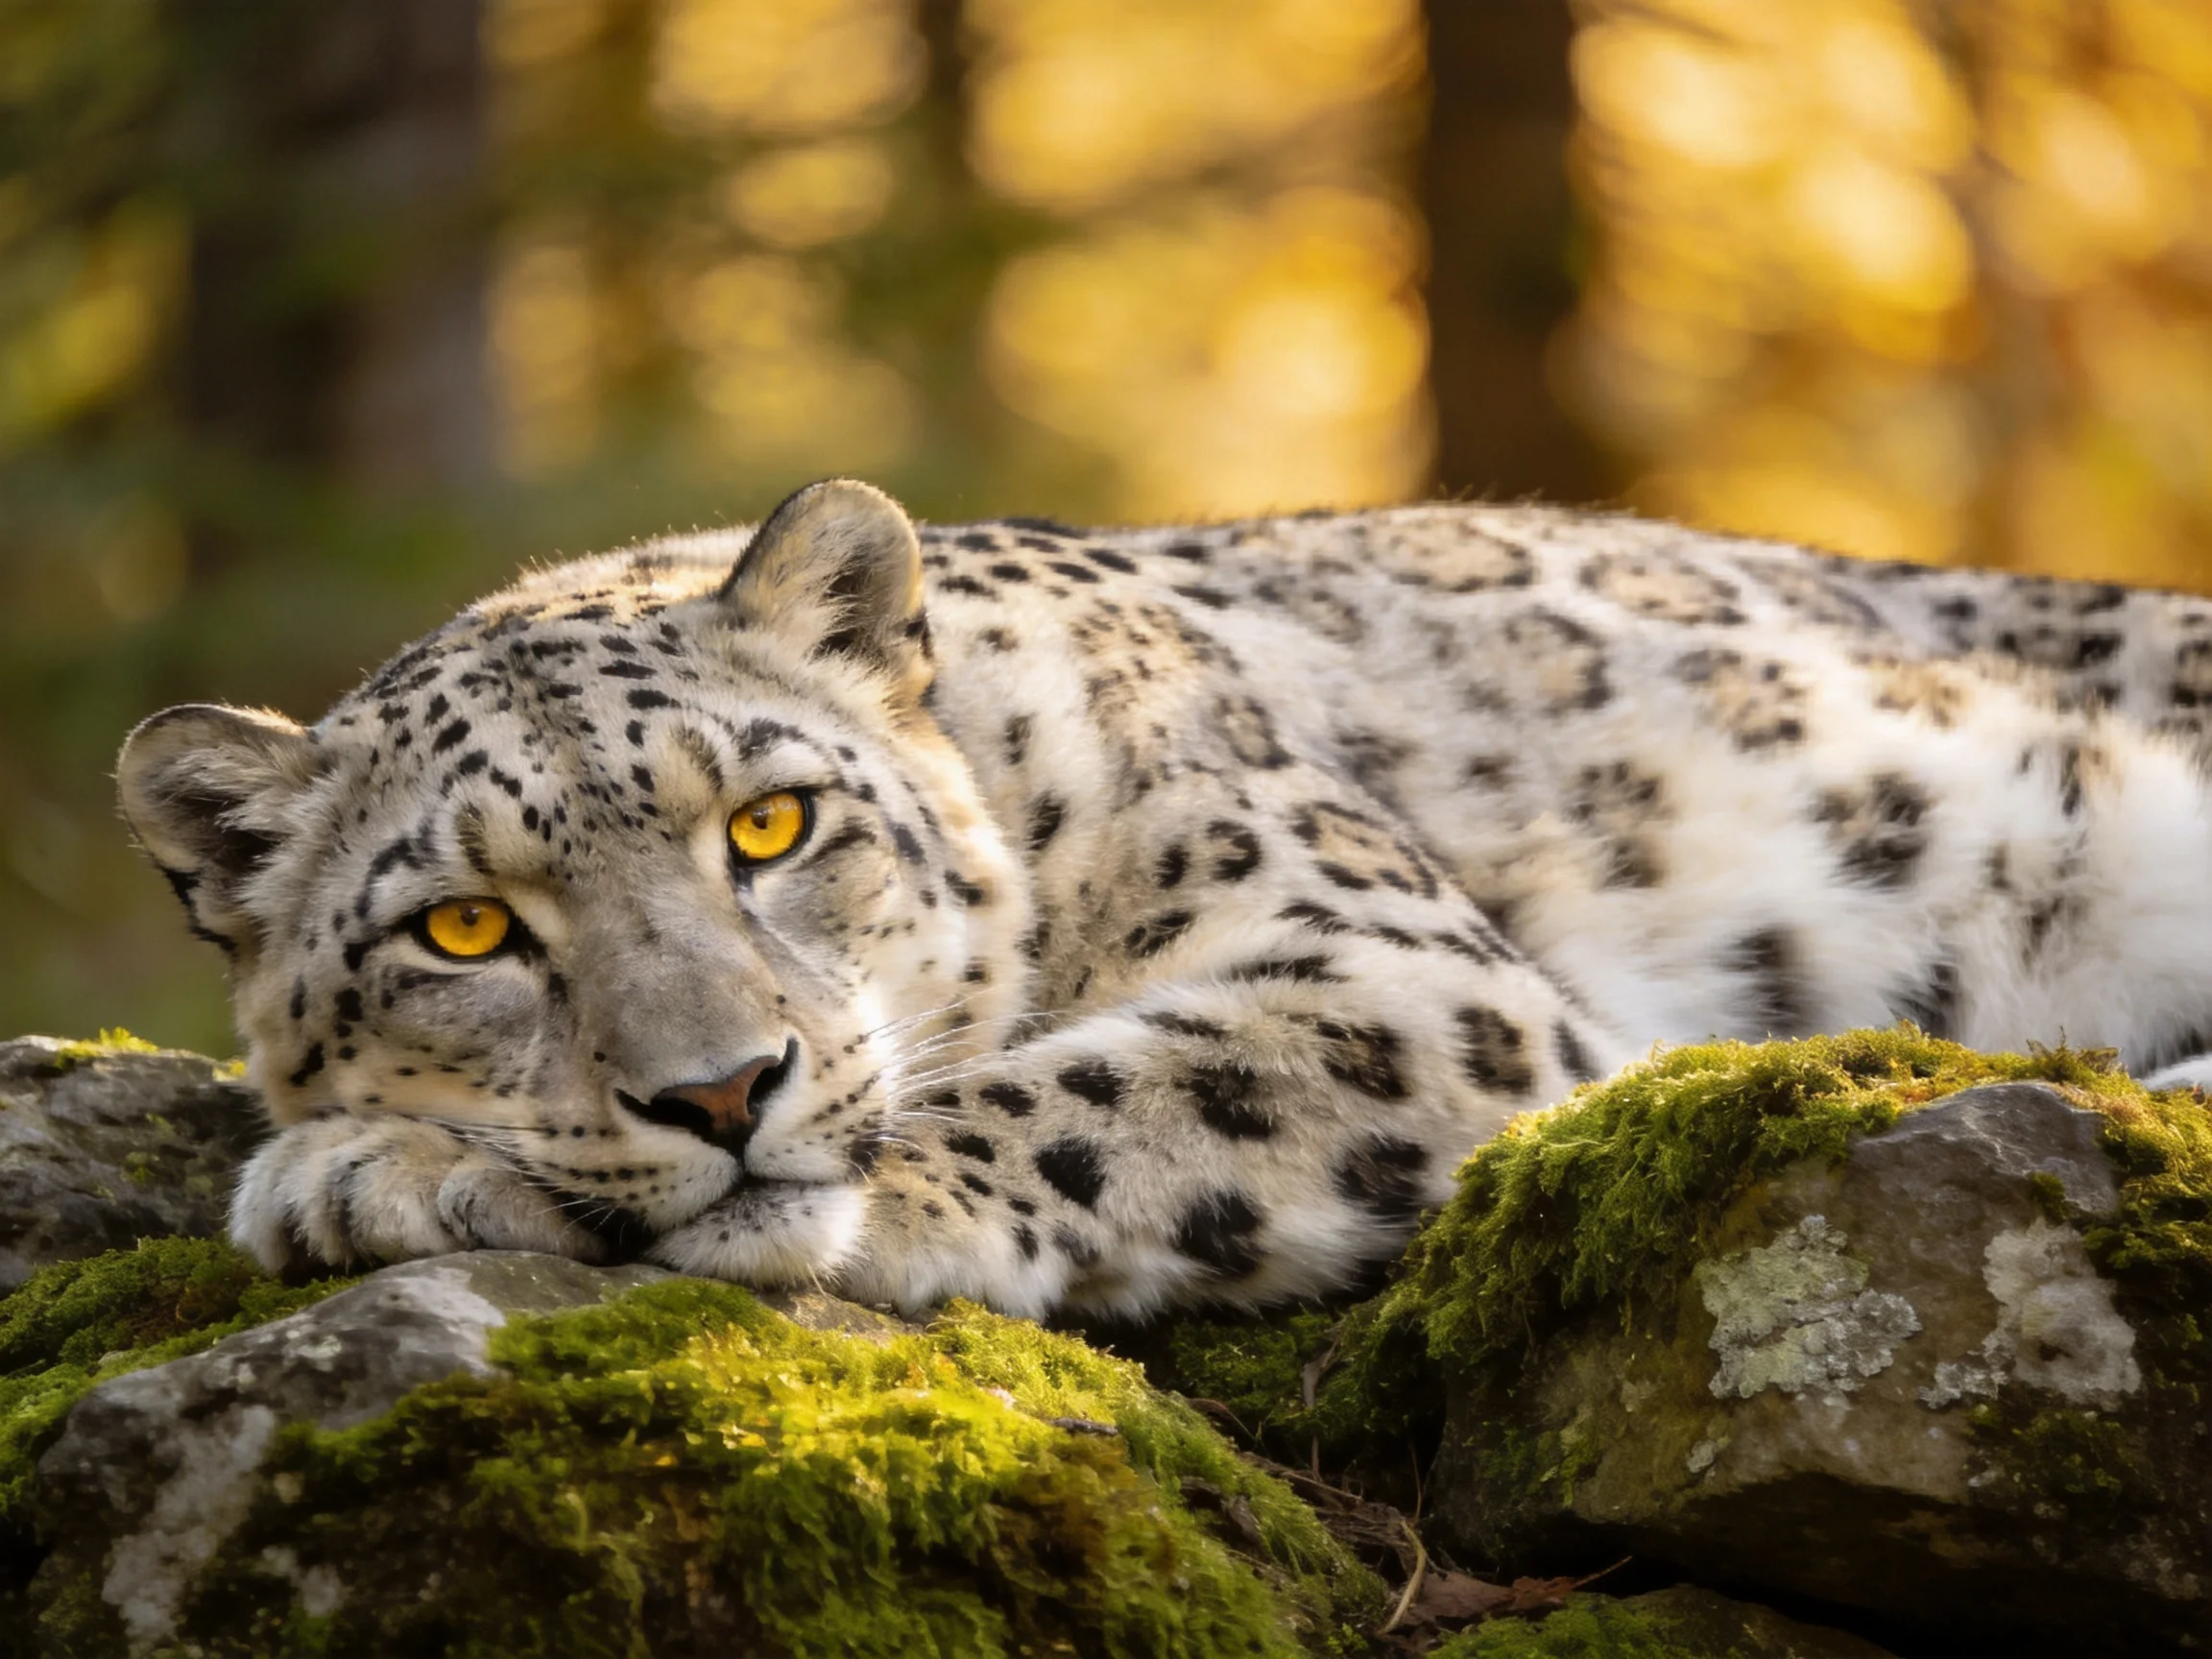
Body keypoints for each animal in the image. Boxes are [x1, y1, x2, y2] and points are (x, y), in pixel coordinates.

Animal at [116, 478, 2212, 1320]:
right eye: (464, 929)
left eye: (771, 825)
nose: (720, 1093)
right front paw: (372, 1171)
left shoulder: (1396, 971)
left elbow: (1093, 1087)